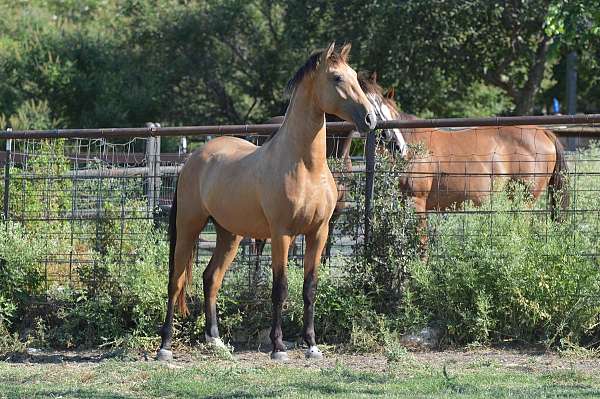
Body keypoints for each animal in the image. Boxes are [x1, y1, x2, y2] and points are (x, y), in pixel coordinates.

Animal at [158, 43, 376, 362]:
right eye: (337, 77)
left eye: (355, 75)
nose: (371, 119)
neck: (306, 167)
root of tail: (194, 159)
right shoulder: (281, 234)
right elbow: (280, 288)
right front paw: (279, 347)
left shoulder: (319, 232)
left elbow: (310, 288)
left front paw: (312, 346)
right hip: (189, 225)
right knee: (176, 281)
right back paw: (165, 346)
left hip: (229, 234)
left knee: (211, 278)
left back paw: (216, 341)